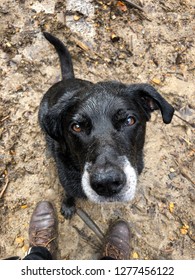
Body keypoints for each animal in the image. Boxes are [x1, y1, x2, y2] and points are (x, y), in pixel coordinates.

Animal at [38, 32, 174, 219]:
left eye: (129, 120)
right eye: (76, 127)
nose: (107, 183)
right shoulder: (66, 180)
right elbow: (68, 192)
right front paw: (68, 205)